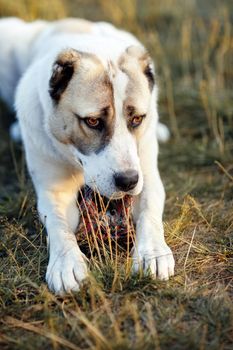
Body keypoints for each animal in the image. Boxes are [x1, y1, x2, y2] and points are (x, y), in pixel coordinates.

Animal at [0, 17, 174, 294]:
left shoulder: (146, 177)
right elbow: (59, 225)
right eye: (92, 121)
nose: (127, 181)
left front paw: (152, 253)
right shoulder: (54, 192)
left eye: (137, 119)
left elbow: (149, 210)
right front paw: (66, 264)